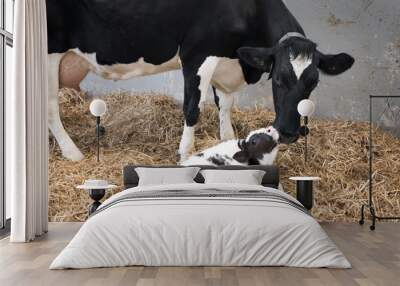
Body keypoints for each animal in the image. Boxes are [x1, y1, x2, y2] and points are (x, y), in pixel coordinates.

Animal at [45, 0, 354, 161]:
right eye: (277, 79)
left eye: (313, 82)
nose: (289, 132)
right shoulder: (197, 55)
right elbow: (193, 108)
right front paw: (185, 154)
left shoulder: (225, 64)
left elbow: (225, 108)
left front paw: (228, 142)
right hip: (48, 52)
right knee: (48, 108)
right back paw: (72, 152)